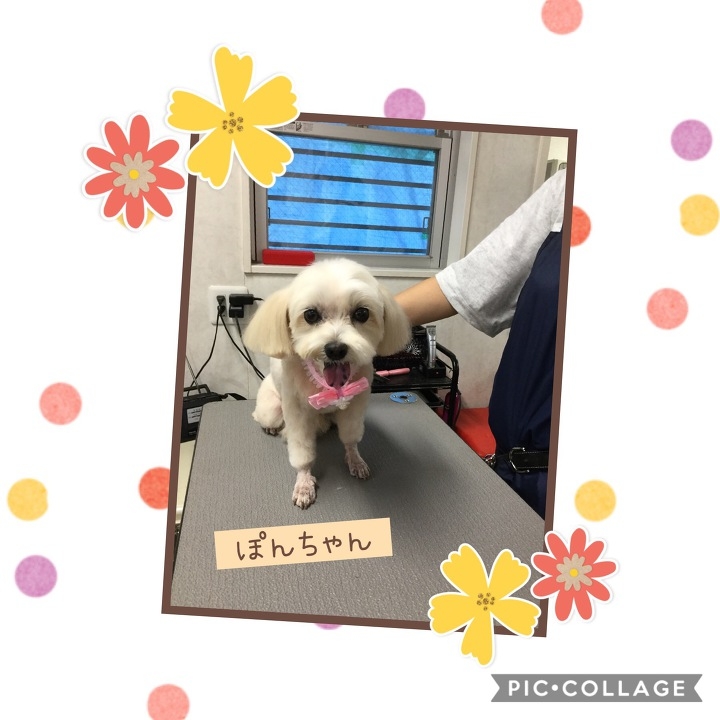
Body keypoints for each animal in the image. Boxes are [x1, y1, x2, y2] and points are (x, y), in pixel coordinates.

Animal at [244, 258, 411, 508]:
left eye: (362, 313)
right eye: (311, 315)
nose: (335, 349)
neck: (331, 388)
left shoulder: (356, 405)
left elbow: (351, 438)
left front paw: (355, 460)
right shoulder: (297, 413)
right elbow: (302, 452)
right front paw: (304, 483)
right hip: (271, 408)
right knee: (264, 417)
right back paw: (273, 427)